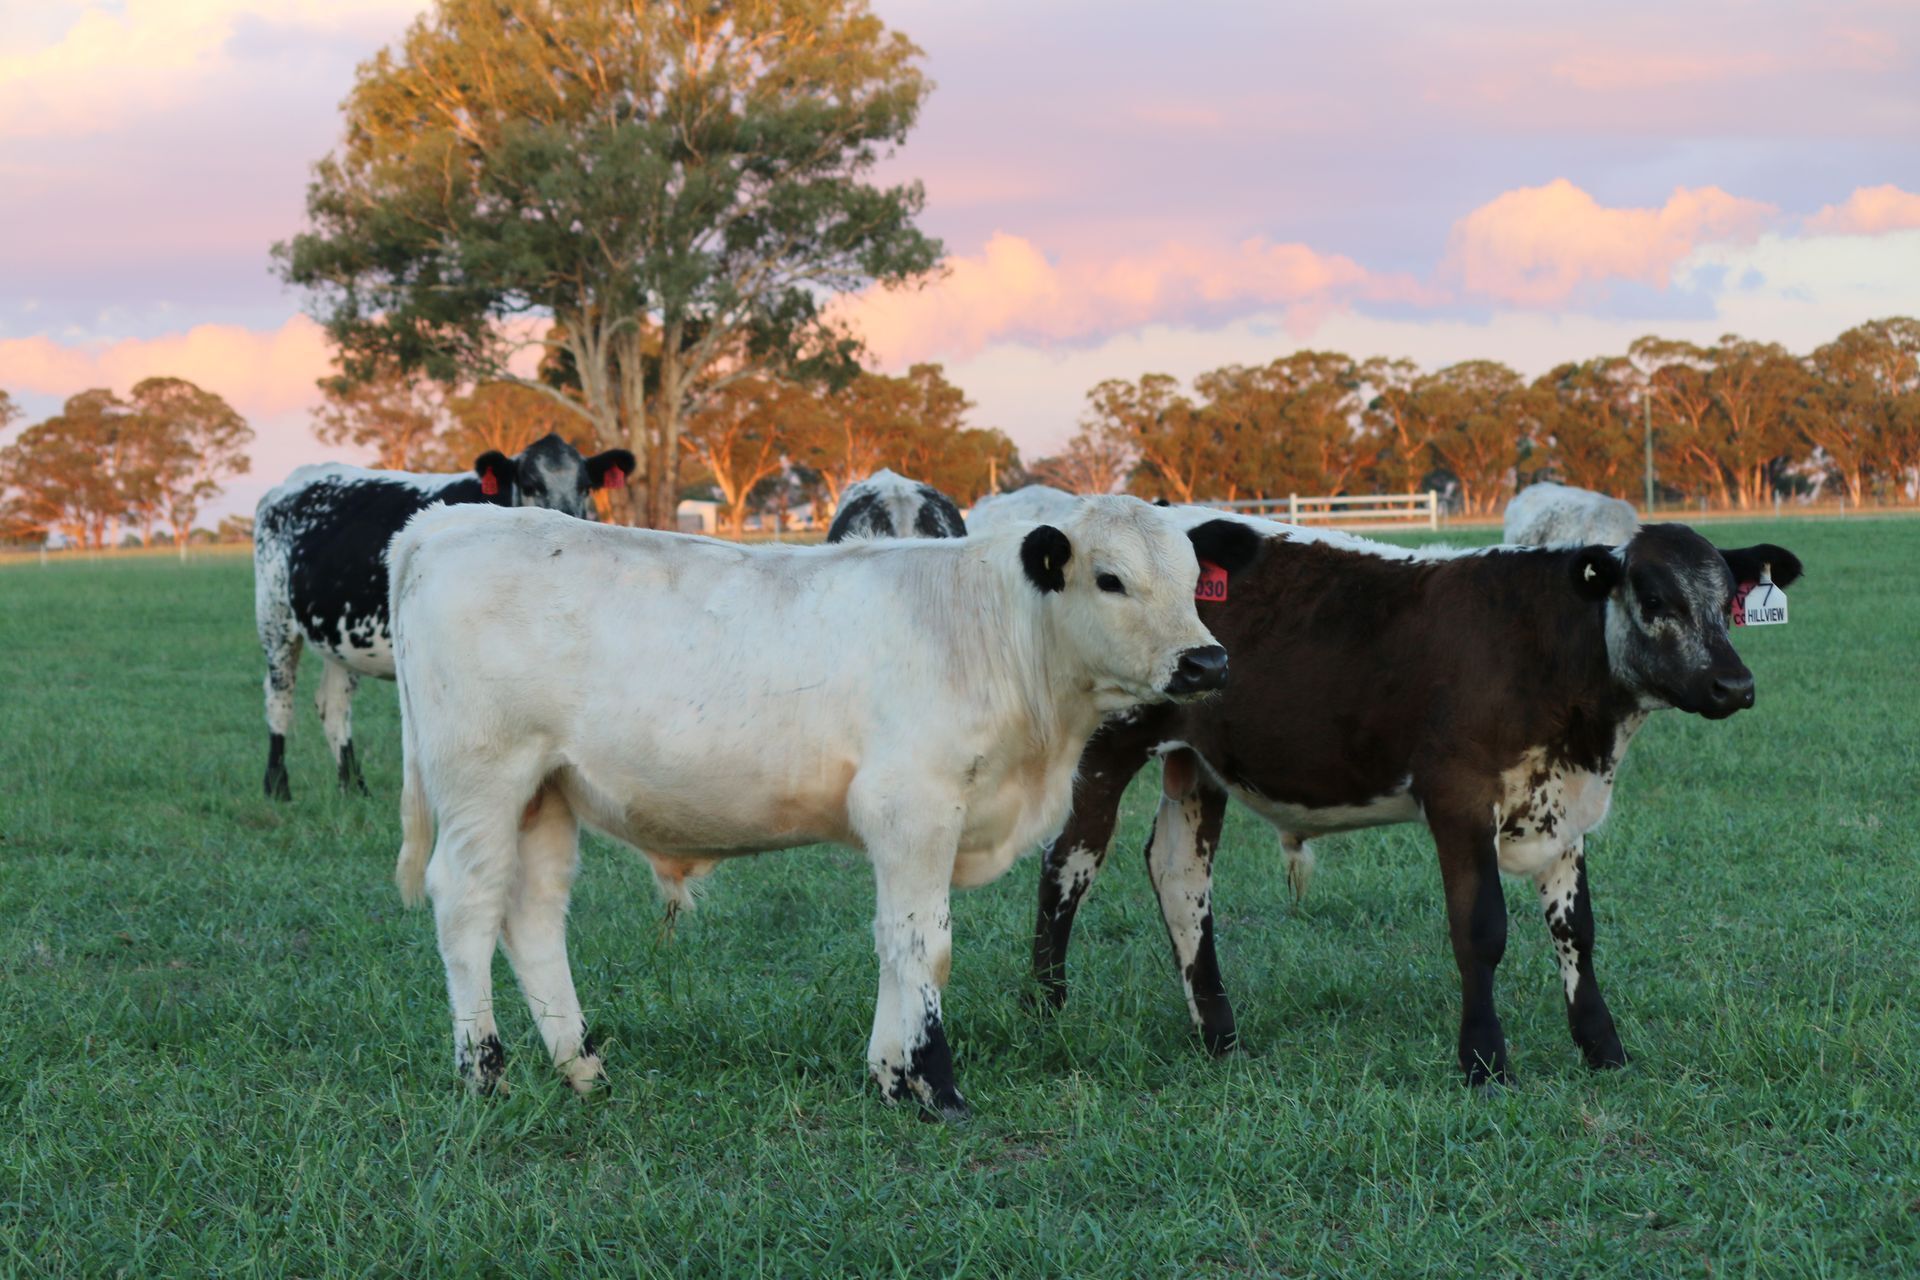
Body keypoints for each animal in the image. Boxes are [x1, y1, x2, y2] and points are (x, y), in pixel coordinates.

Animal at [252, 433, 634, 801]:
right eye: (530, 483)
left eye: (586, 486)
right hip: (275, 618)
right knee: (278, 697)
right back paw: (277, 787)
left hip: (338, 638)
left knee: (333, 705)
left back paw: (354, 789)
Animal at [386, 496, 1260, 1117]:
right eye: (1110, 578)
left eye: (1195, 581)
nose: (1206, 661)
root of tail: (447, 521)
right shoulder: (913, 805)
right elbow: (924, 944)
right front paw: (935, 1086)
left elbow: (891, 941)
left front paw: (889, 1075)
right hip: (484, 779)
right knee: (466, 908)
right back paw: (484, 1074)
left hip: (545, 793)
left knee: (532, 916)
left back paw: (582, 1068)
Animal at [1030, 512, 1802, 1088]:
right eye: (1654, 601)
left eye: (1729, 604)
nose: (1735, 685)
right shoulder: (1458, 797)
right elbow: (1481, 929)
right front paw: (1485, 1062)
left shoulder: (1564, 808)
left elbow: (1577, 930)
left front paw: (1602, 1050)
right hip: (1105, 746)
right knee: (1068, 863)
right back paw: (1048, 1009)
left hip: (1196, 765)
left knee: (1180, 874)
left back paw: (1217, 1036)